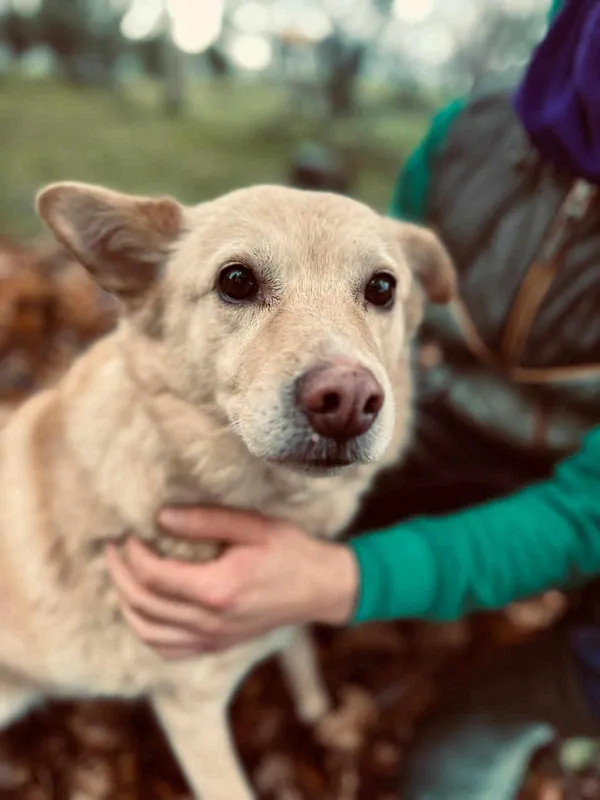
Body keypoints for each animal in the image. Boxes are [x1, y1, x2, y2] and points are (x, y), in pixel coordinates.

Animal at [0, 183, 452, 800]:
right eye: (235, 281)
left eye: (383, 288)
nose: (347, 400)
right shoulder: (192, 711)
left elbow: (300, 658)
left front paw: (316, 717)